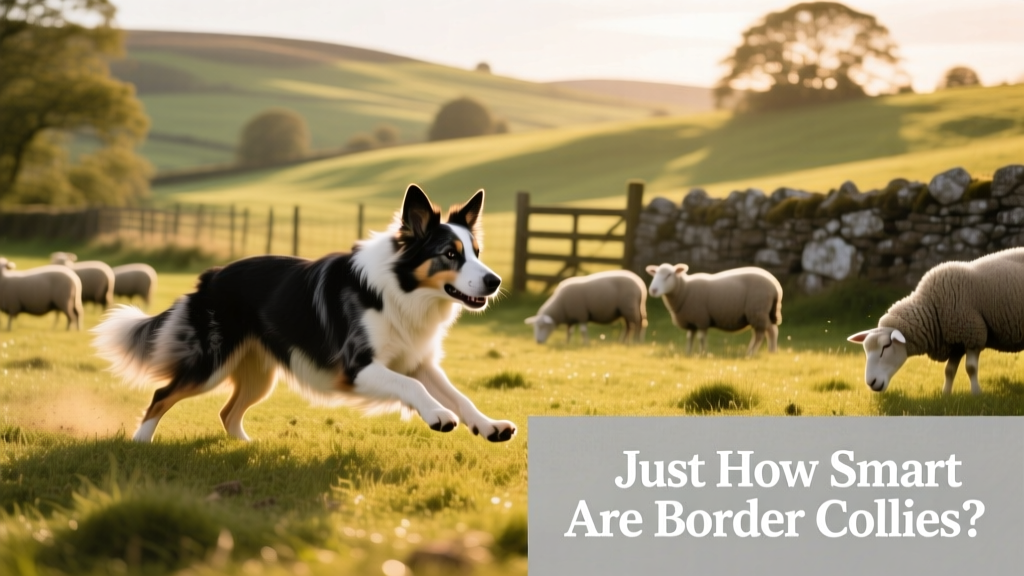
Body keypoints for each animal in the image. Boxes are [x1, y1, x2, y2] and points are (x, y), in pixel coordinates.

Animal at [646, 263, 783, 357]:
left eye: (669, 275)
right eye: (655, 274)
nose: (653, 290)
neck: (684, 289)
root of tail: (775, 286)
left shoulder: (701, 318)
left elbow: (701, 338)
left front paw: (702, 353)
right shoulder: (691, 321)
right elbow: (690, 338)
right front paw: (688, 354)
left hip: (757, 311)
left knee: (760, 334)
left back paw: (751, 353)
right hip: (764, 312)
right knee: (772, 331)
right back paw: (772, 352)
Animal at [847, 247, 1024, 396]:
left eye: (886, 346)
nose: (871, 383)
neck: (932, 307)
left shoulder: (973, 334)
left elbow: (971, 368)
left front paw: (976, 394)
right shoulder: (956, 341)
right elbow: (949, 371)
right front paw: (945, 395)